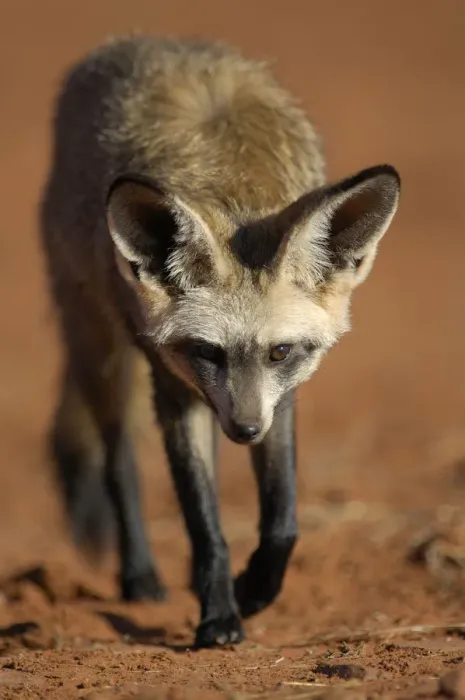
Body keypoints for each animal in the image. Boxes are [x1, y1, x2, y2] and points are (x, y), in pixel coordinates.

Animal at [39, 35, 401, 648]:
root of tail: (140, 41)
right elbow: (203, 521)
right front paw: (219, 616)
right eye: (207, 351)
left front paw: (255, 588)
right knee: (117, 459)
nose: (245, 431)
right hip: (100, 348)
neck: (237, 189)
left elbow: (283, 520)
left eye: (281, 352)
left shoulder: (282, 395)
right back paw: (140, 575)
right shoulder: (172, 383)